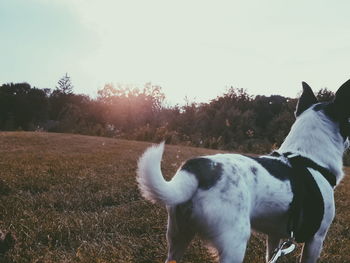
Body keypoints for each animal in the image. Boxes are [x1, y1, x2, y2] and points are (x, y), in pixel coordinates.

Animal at [137, 80, 350, 263]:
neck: (307, 158)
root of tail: (198, 168)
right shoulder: (316, 239)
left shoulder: (274, 236)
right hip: (234, 243)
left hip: (177, 236)